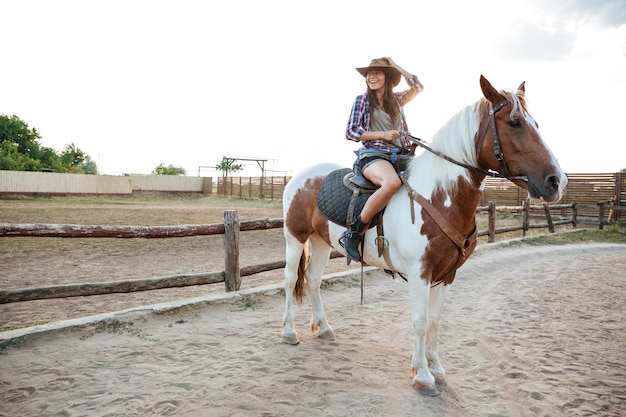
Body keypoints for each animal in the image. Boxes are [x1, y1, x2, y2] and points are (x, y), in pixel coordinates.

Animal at [278, 75, 564, 396]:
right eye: (515, 122)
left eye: (535, 123)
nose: (556, 181)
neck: (438, 195)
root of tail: (301, 175)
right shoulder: (420, 273)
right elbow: (420, 321)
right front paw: (423, 376)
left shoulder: (448, 275)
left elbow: (436, 321)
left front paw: (436, 369)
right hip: (295, 237)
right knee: (289, 280)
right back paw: (288, 332)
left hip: (320, 241)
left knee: (313, 280)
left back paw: (324, 327)